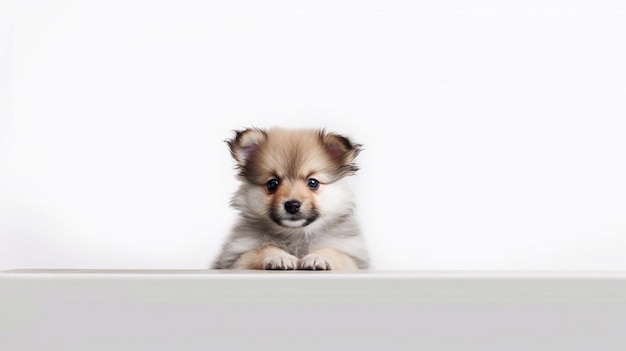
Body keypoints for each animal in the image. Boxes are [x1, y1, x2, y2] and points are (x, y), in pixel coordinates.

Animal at [212, 128, 368, 270]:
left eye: (313, 182)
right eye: (272, 184)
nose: (292, 205)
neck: (295, 233)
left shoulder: (354, 259)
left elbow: (334, 252)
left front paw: (317, 257)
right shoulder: (236, 258)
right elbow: (262, 249)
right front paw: (279, 257)